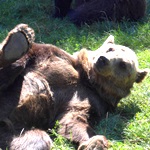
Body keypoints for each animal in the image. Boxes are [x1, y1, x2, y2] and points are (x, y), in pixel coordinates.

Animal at [0, 24, 148, 149]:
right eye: (110, 49)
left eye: (123, 64)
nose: (103, 59)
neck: (88, 80)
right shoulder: (52, 56)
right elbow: (32, 54)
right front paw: (18, 43)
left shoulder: (94, 101)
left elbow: (74, 118)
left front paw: (95, 143)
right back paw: (17, 43)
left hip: (16, 131)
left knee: (38, 140)